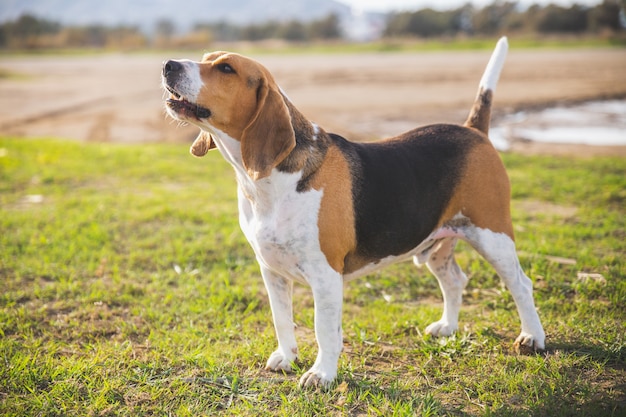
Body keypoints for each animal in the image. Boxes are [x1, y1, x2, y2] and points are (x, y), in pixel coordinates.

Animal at [161, 37, 540, 388]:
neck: (268, 183)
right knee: (455, 280)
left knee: (521, 284)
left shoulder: (325, 276)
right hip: (437, 245)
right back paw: (447, 326)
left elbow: (324, 329)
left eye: (226, 68)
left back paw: (533, 338)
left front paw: (322, 375)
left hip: (493, 236)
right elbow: (281, 319)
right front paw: (287, 357)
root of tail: (473, 130)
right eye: (206, 58)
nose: (168, 65)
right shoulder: (271, 270)